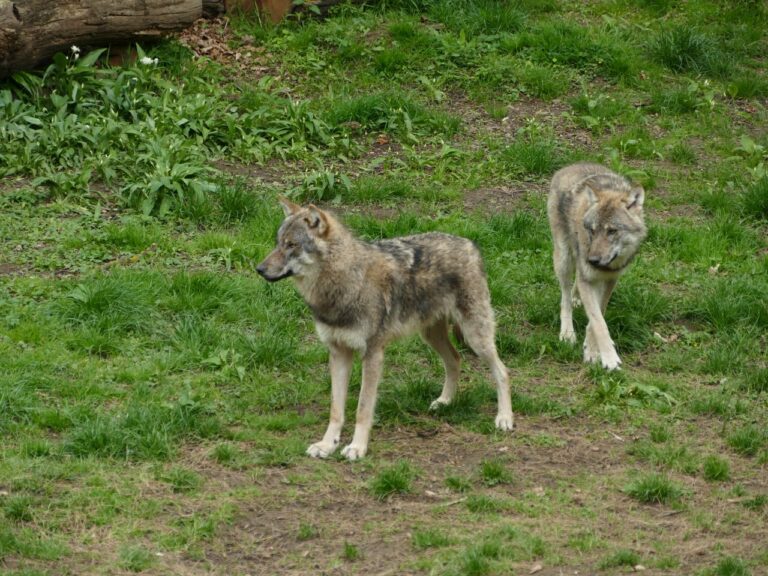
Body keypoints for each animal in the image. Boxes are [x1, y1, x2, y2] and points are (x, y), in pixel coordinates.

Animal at [257, 198, 514, 461]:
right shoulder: (338, 353)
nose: (259, 269)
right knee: (455, 359)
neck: (346, 282)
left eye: (292, 245)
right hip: (431, 336)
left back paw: (504, 418)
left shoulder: (372, 355)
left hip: (476, 337)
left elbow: (362, 408)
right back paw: (445, 402)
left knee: (502, 371)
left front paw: (357, 447)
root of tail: (470, 244)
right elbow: (336, 410)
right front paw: (327, 445)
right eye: (278, 243)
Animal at [547, 163, 647, 371]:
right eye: (592, 230)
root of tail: (570, 166)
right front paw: (609, 359)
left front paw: (592, 351)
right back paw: (567, 333)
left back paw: (577, 300)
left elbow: (598, 315)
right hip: (564, 259)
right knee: (565, 298)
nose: (592, 260)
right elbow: (599, 322)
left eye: (612, 231)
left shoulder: (610, 279)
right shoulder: (588, 277)